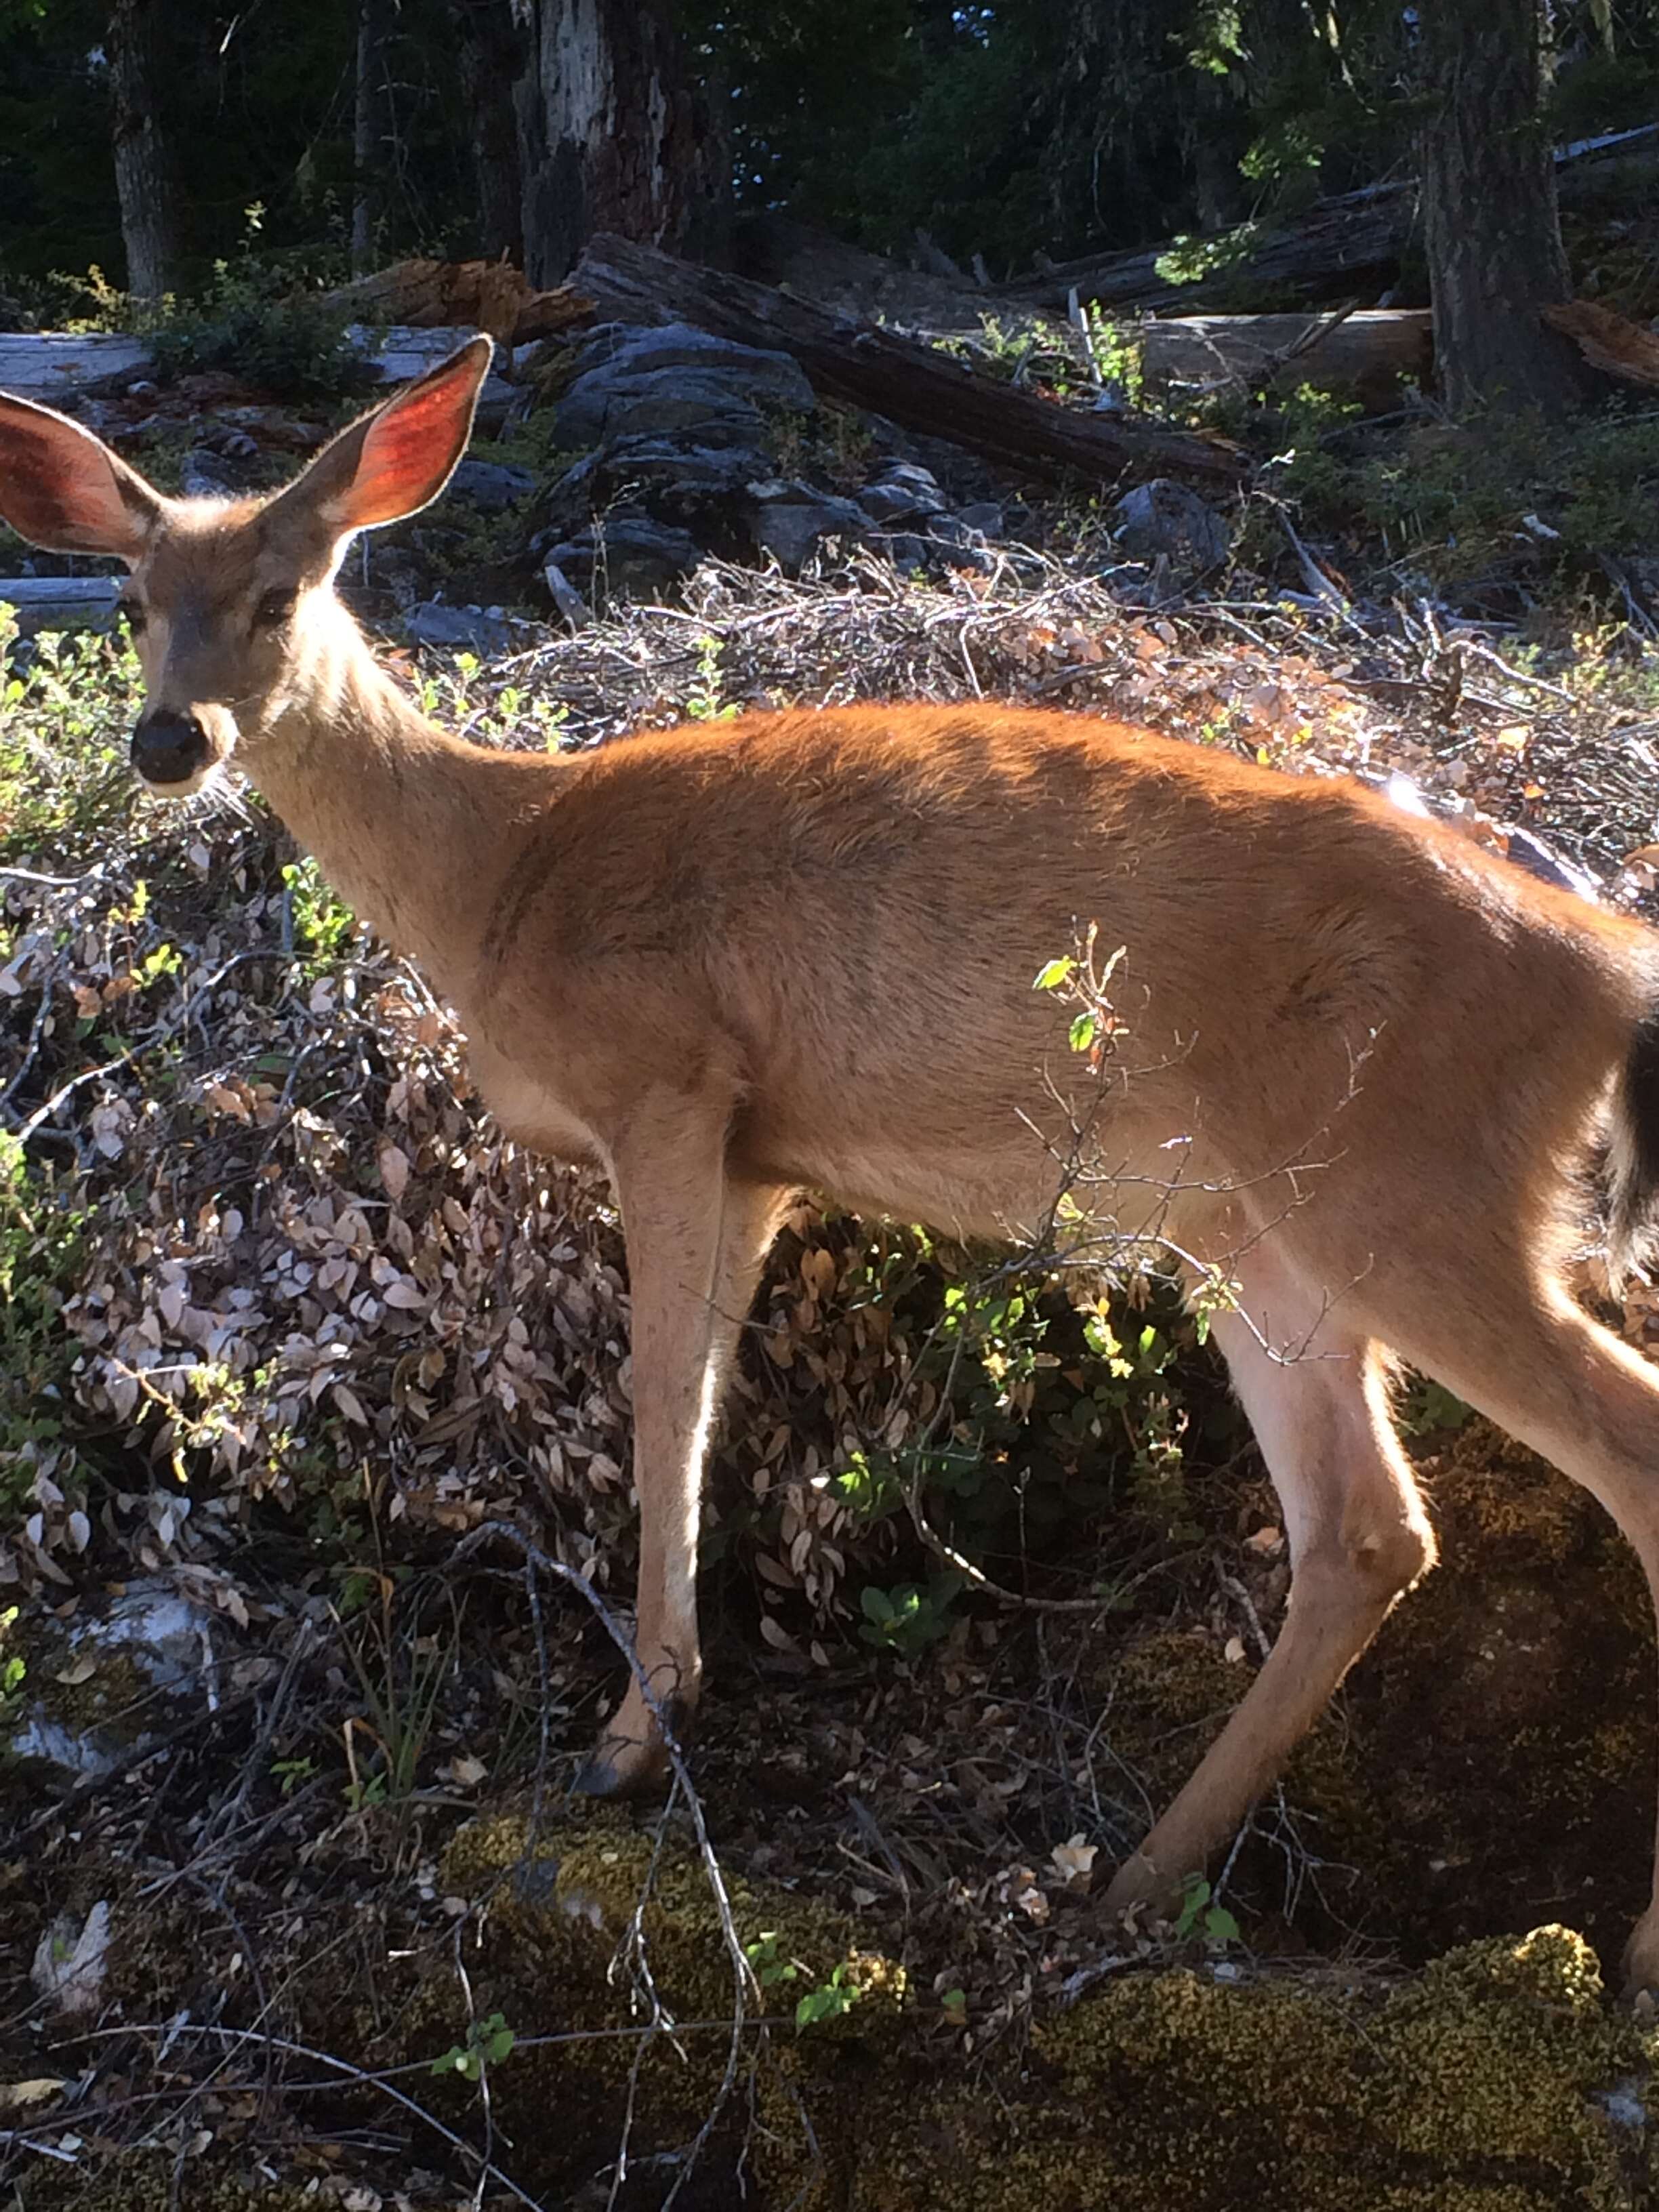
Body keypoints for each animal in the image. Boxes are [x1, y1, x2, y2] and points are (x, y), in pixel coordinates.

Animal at [9, 340, 1659, 1990]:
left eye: (282, 590)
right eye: (132, 599)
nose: (169, 740)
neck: (501, 874)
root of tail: (1607, 975)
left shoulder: (670, 1075)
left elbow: (659, 1389)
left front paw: (633, 1733)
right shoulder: (761, 1155)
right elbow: (703, 1390)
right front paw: (657, 1707)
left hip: (1417, 1185)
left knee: (1614, 1438)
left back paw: (1622, 1945)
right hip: (1260, 1236)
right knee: (1367, 1531)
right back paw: (1136, 1881)